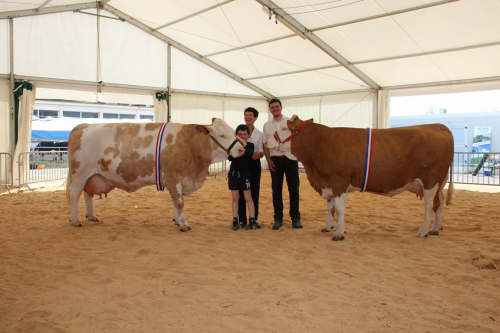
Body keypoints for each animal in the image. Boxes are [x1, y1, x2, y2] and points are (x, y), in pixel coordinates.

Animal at [67, 118, 244, 230]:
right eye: (222, 135)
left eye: (232, 131)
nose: (242, 149)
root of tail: (84, 125)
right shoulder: (173, 177)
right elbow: (180, 202)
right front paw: (183, 224)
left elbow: (176, 201)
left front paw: (176, 220)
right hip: (80, 173)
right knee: (75, 194)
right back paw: (75, 221)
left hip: (91, 175)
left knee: (87, 194)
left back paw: (92, 216)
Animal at [268, 115, 456, 240]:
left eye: (284, 128)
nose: (267, 142)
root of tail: (437, 126)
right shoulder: (328, 183)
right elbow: (330, 208)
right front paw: (328, 227)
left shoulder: (339, 180)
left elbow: (339, 208)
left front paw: (339, 233)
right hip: (439, 182)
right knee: (439, 202)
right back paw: (435, 229)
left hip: (430, 181)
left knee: (430, 206)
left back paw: (422, 231)